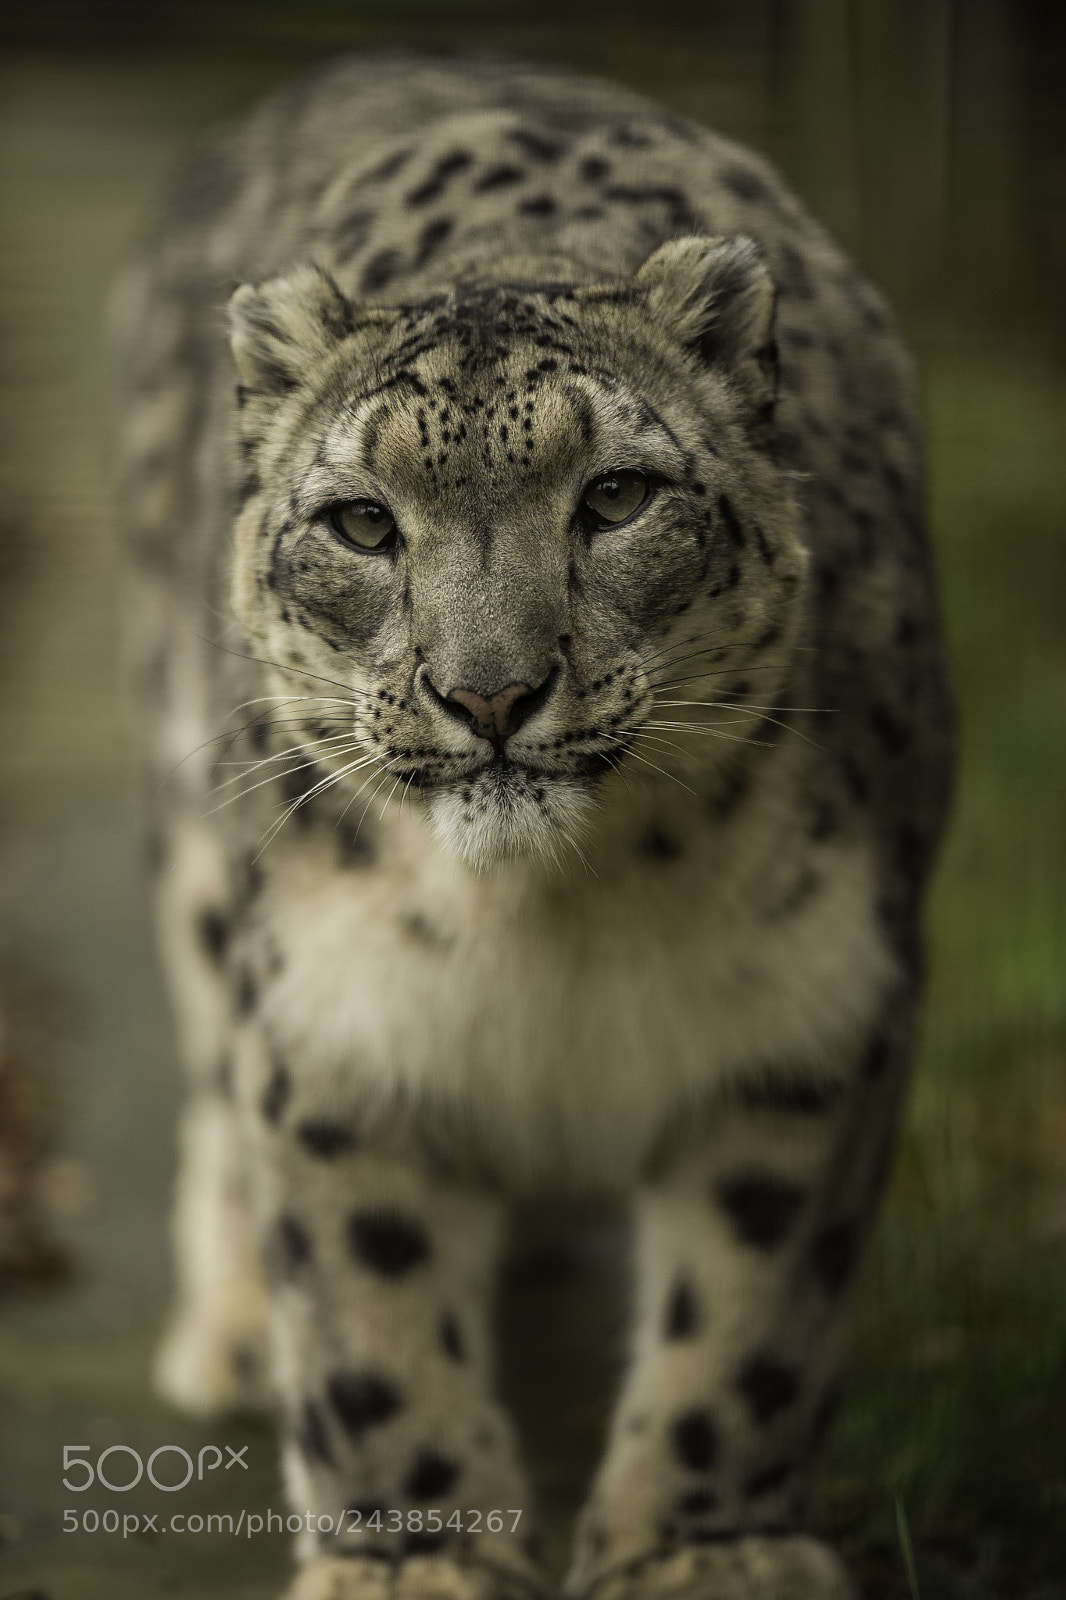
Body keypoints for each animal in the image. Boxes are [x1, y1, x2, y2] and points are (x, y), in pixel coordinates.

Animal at [114, 51, 954, 1600]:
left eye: (615, 495)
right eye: (362, 524)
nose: (490, 691)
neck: (557, 916)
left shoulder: (811, 1014)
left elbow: (748, 1316)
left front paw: (704, 1554)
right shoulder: (334, 1012)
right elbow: (369, 1306)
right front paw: (418, 1559)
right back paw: (238, 1333)